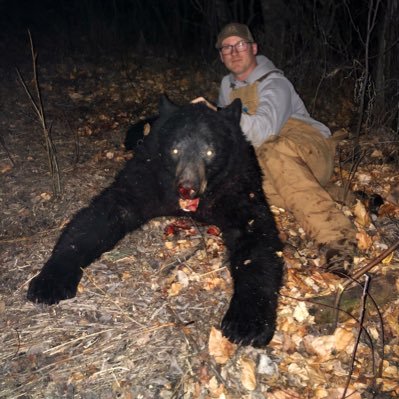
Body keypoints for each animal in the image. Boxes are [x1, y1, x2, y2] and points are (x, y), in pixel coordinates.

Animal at [27, 96, 284, 346]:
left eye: (210, 152)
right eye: (175, 149)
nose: (188, 188)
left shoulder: (237, 186)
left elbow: (257, 238)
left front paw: (247, 323)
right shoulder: (147, 177)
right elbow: (99, 216)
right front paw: (49, 281)